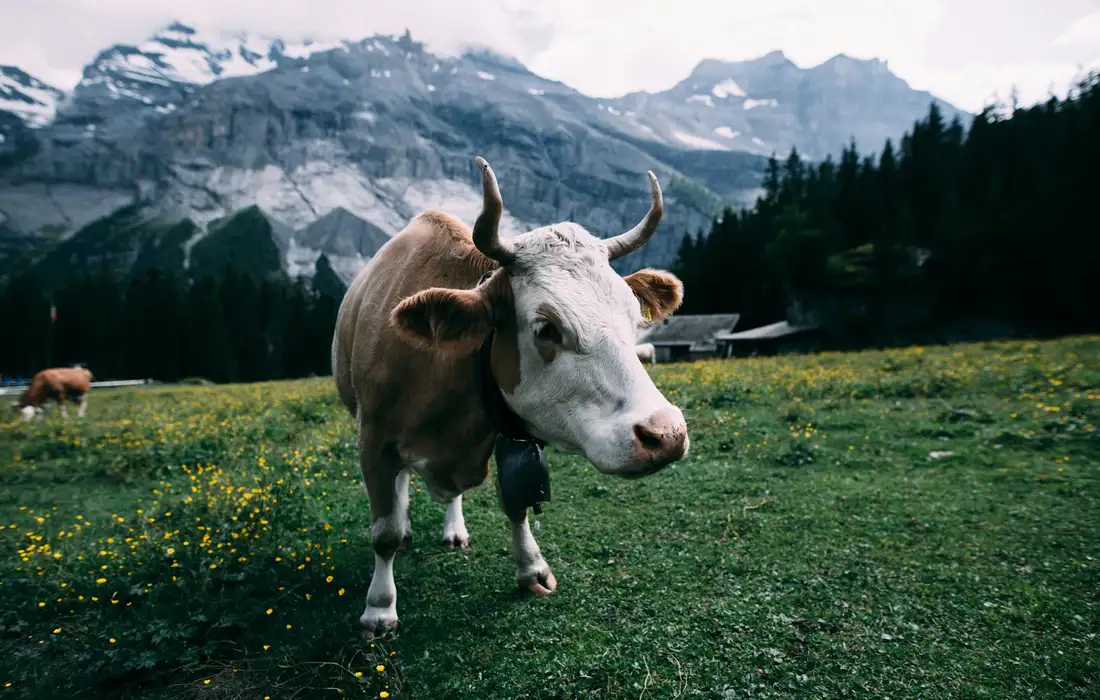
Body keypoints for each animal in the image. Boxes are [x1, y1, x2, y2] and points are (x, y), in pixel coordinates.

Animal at [332, 156, 690, 636]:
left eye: (635, 316)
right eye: (546, 328)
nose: (665, 434)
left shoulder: (508, 433)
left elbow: (517, 502)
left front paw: (532, 569)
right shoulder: (372, 439)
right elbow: (383, 532)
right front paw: (379, 607)